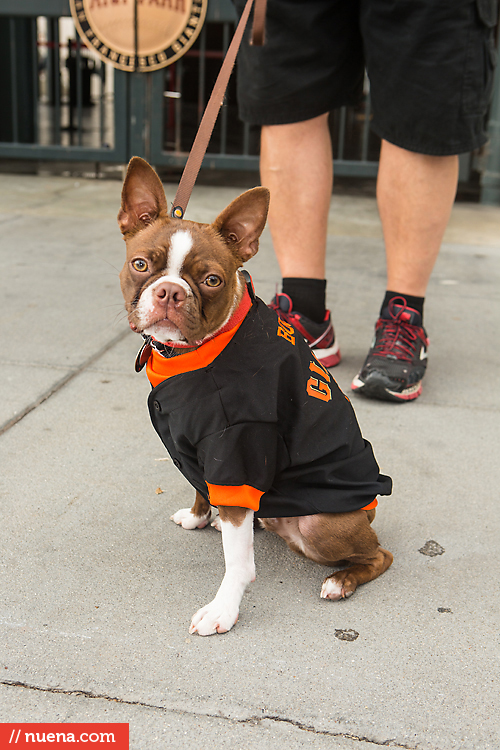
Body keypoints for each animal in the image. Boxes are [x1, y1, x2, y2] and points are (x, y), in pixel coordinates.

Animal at [119, 157, 392, 636]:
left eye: (211, 280)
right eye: (140, 264)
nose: (170, 291)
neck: (192, 352)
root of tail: (370, 514)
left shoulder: (237, 446)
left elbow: (238, 563)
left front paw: (223, 610)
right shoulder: (200, 450)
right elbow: (201, 487)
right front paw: (198, 517)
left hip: (323, 526)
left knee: (380, 555)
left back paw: (341, 581)